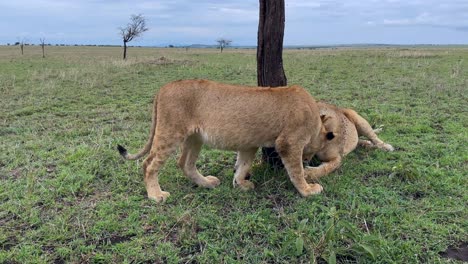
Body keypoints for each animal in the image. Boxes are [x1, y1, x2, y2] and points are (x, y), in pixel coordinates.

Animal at [118, 78, 332, 202]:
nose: (308, 159)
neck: (315, 120)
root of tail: (163, 88)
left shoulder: (249, 144)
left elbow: (243, 166)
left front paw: (240, 184)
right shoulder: (289, 143)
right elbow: (296, 171)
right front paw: (308, 189)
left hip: (194, 137)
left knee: (185, 163)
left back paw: (207, 183)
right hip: (170, 133)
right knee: (148, 164)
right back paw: (156, 195)